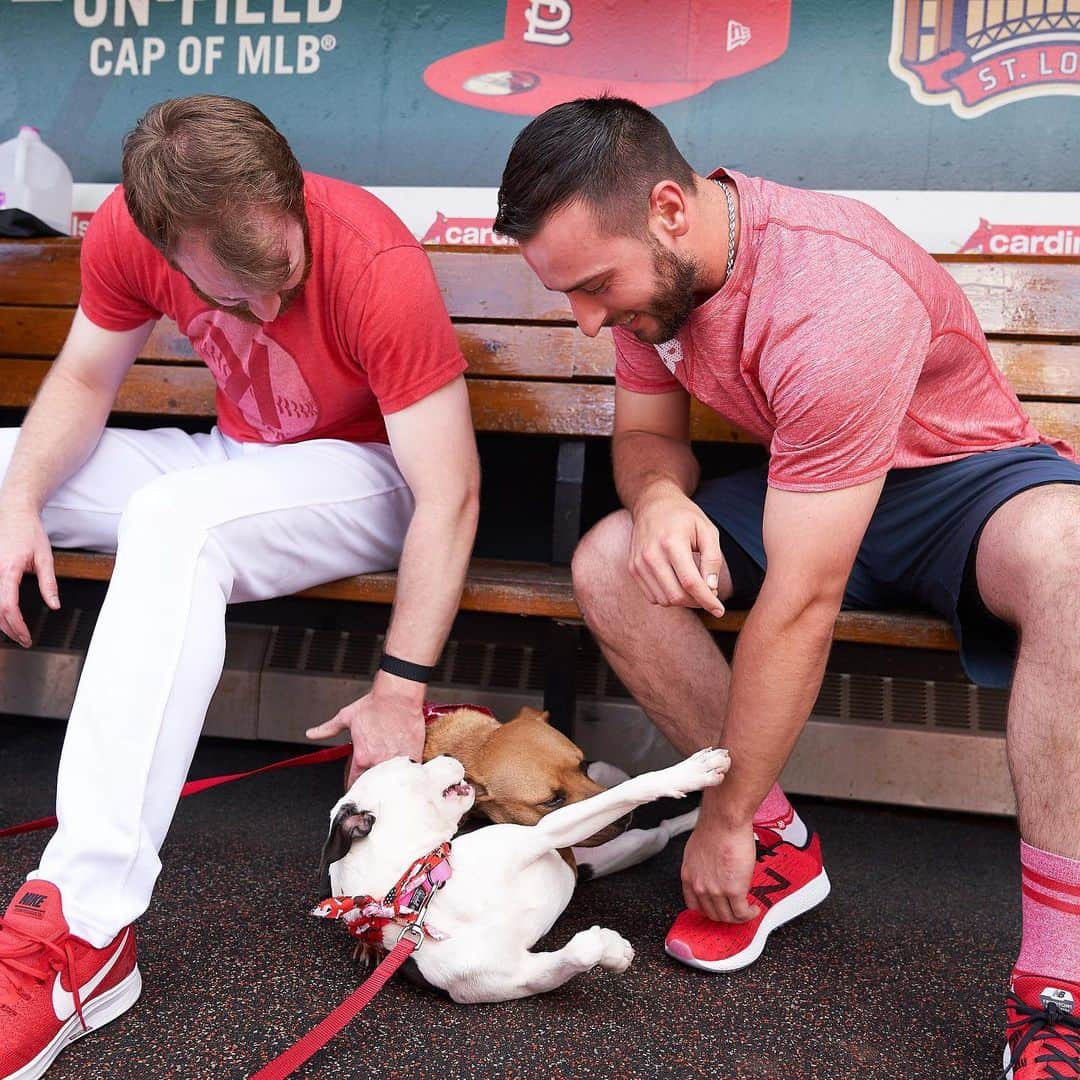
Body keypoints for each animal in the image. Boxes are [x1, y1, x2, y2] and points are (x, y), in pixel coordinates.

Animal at [315, 743, 730, 1002]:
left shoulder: (539, 835)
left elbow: (628, 790)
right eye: (414, 763)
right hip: (630, 846)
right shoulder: (518, 976)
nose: (448, 752)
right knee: (659, 831)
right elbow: (577, 954)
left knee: (631, 802)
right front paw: (611, 950)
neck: (422, 893)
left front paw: (689, 772)